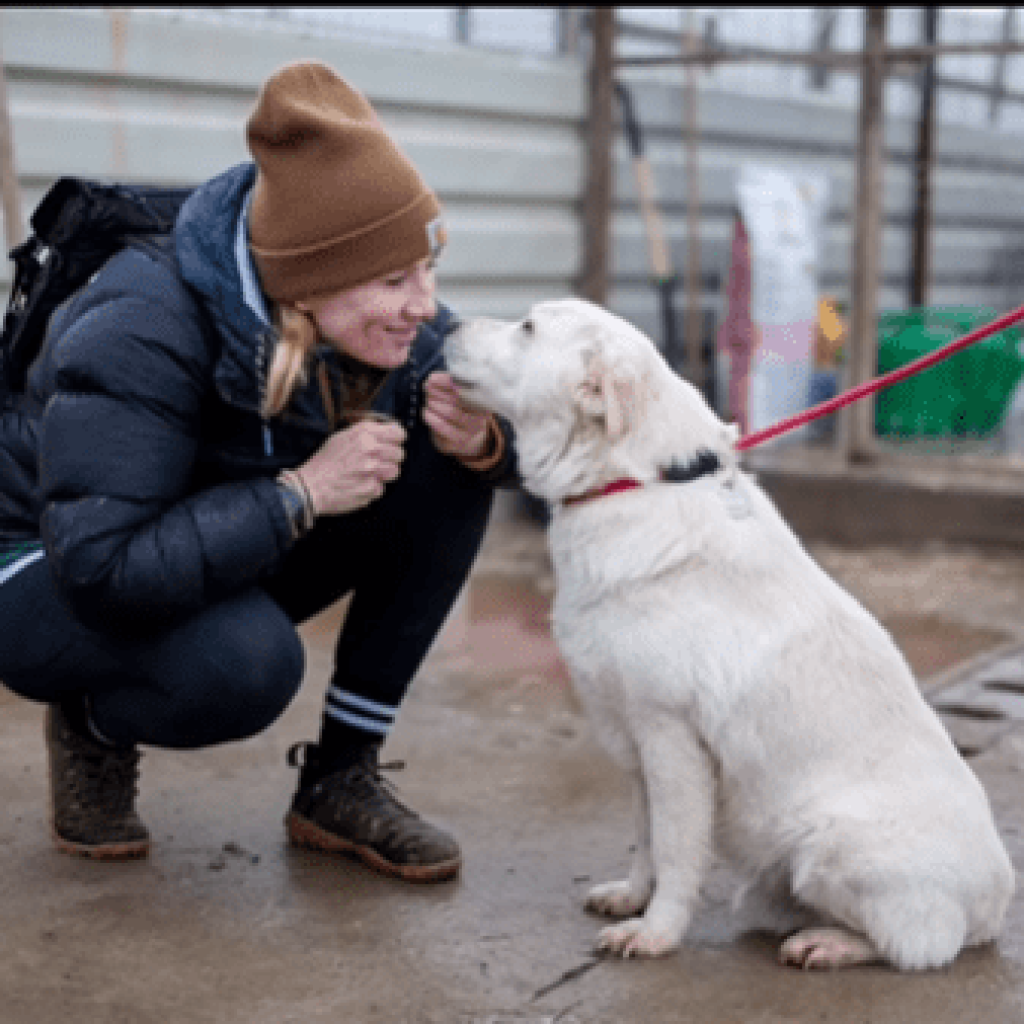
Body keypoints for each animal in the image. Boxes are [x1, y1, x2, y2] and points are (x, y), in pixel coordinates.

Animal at [448, 299, 1015, 970]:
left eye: (529, 328)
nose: (445, 324)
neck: (638, 482)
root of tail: (997, 904)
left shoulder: (670, 738)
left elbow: (674, 850)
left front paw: (657, 932)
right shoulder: (635, 743)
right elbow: (644, 838)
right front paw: (632, 897)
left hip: (830, 844)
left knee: (916, 945)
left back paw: (828, 943)